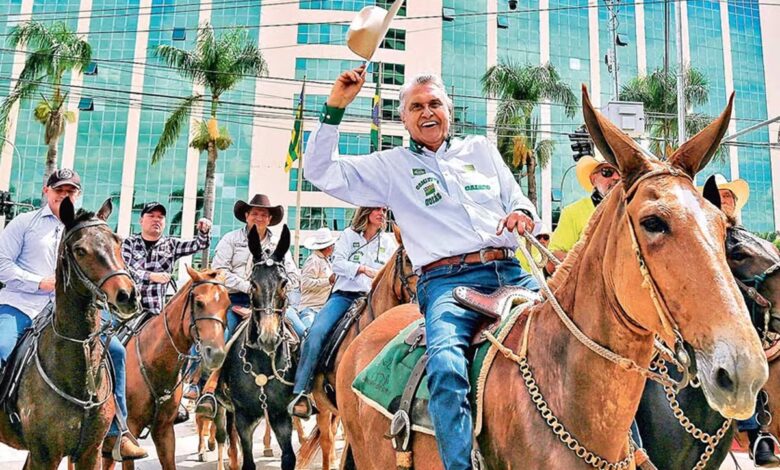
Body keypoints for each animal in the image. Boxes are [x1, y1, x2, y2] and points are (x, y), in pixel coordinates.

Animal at [102, 265, 230, 470]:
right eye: (199, 302)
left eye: (228, 305)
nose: (216, 354)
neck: (154, 362)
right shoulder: (130, 430)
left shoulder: (164, 430)